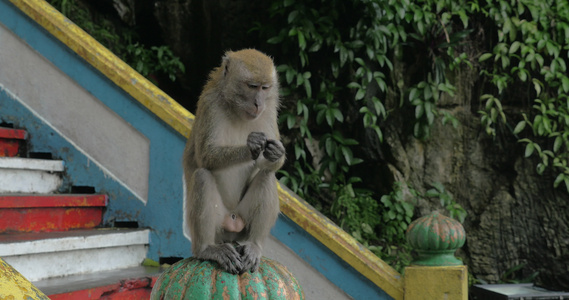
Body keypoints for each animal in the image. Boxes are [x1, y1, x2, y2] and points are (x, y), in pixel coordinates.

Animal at [184, 47, 286, 274]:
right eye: (252, 86)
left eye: (265, 88)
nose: (258, 103)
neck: (237, 109)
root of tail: (231, 222)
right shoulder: (210, 105)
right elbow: (206, 156)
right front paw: (251, 146)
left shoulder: (268, 112)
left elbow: (268, 166)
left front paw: (276, 153)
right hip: (218, 225)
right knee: (202, 176)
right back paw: (207, 249)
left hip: (242, 223)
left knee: (267, 177)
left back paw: (254, 246)